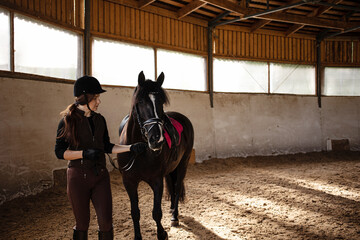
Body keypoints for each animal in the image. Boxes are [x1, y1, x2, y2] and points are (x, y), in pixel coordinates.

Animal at [117, 71, 194, 240]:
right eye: (140, 101)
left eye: (161, 103)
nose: (156, 139)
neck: (139, 150)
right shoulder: (129, 182)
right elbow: (135, 212)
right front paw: (137, 236)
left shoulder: (156, 181)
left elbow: (156, 212)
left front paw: (162, 233)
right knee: (172, 186)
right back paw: (171, 209)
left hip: (183, 164)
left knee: (177, 187)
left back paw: (174, 216)